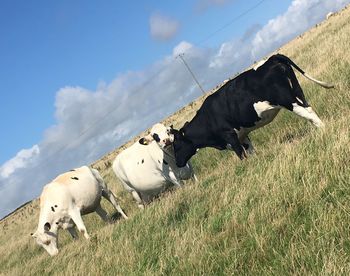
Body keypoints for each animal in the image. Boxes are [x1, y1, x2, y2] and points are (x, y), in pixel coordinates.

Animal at [171, 53, 334, 166]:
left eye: (176, 146)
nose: (178, 164)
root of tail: (272, 58)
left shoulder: (230, 135)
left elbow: (241, 155)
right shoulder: (242, 135)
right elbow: (251, 151)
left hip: (288, 101)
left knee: (307, 114)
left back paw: (322, 130)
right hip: (298, 92)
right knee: (310, 110)